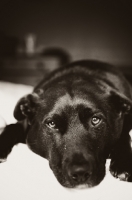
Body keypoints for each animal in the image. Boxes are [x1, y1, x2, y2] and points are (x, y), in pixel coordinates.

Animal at [0, 60, 132, 188]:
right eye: (52, 123)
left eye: (95, 120)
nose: (80, 173)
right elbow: (10, 127)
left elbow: (124, 135)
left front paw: (123, 162)